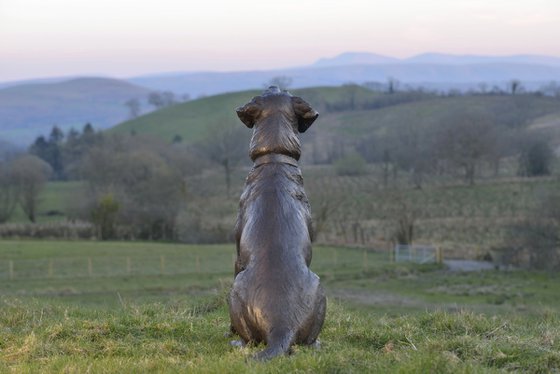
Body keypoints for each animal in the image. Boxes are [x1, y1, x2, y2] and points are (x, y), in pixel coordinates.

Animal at [229, 86, 326, 360]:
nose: (274, 85)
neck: (274, 158)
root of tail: (281, 328)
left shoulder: (237, 253)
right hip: (320, 288)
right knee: (307, 340)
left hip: (235, 290)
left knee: (250, 339)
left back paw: (237, 342)